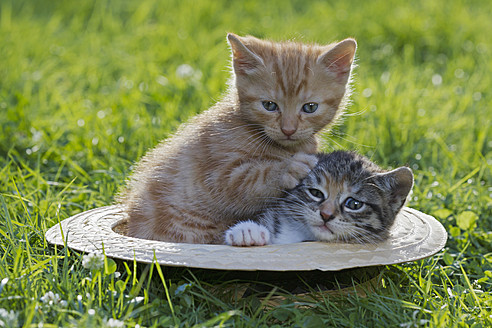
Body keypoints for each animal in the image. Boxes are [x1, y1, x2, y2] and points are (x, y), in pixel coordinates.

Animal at [119, 33, 358, 243]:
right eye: (269, 105)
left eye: (310, 107)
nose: (288, 129)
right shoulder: (215, 175)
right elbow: (247, 181)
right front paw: (288, 168)